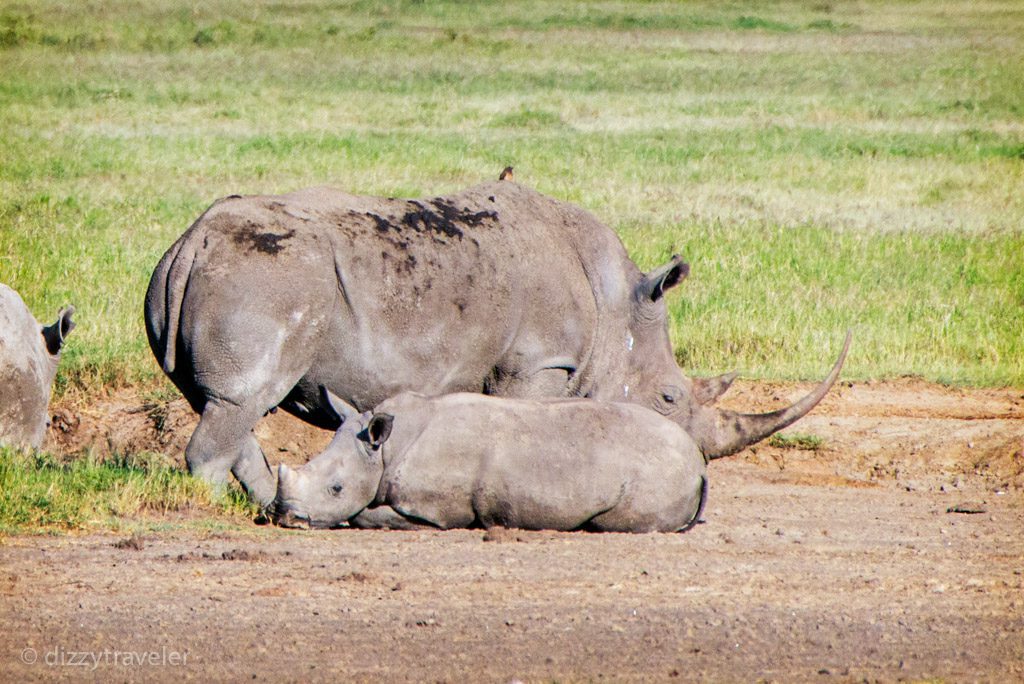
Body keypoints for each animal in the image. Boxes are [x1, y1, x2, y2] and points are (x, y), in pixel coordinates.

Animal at [272, 389, 704, 532]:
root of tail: (698, 462)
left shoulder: (436, 510)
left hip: (660, 468)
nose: (287, 518)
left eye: (336, 489)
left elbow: (366, 515)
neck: (386, 447)